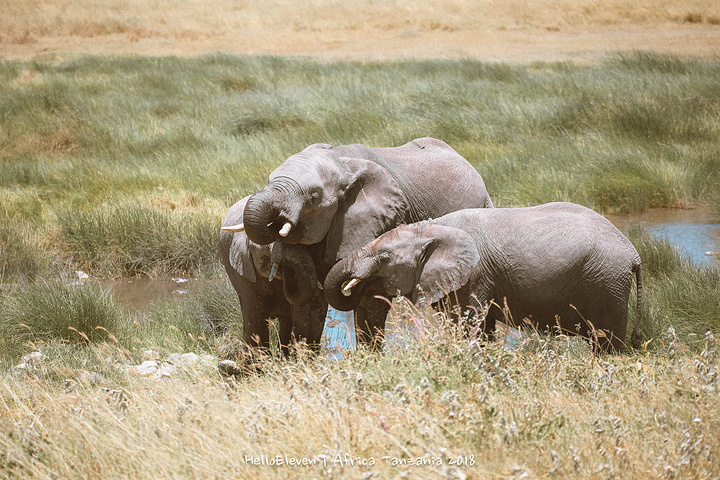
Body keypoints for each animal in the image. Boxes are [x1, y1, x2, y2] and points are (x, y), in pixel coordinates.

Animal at [242, 137, 496, 346]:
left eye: (313, 196)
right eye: (268, 181)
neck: (339, 160)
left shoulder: (383, 221)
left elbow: (371, 298)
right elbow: (310, 300)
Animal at [324, 202, 644, 352]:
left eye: (384, 257)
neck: (432, 228)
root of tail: (634, 253)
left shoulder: (475, 276)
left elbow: (468, 326)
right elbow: (483, 329)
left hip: (606, 282)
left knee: (607, 341)